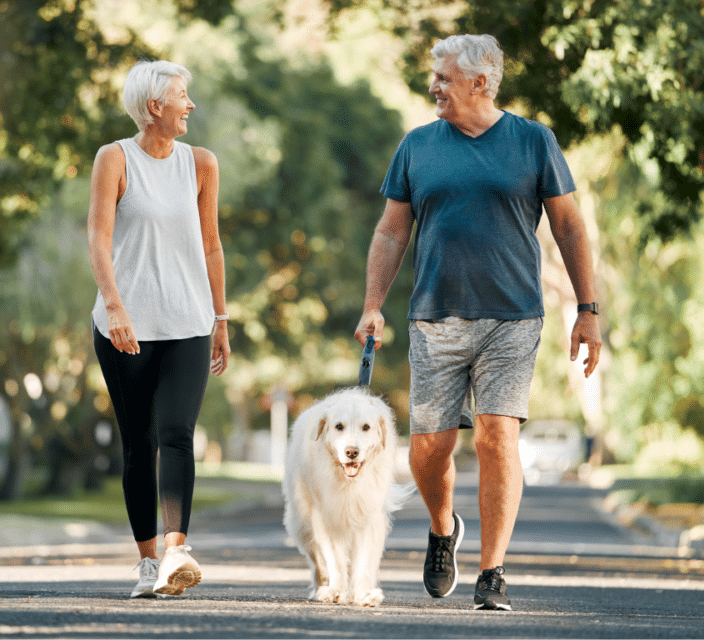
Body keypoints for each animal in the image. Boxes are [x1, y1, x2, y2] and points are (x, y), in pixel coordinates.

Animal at [284, 388, 410, 608]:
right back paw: (321, 588)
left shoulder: (369, 518)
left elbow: (366, 561)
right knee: (318, 561)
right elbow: (334, 559)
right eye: (339, 427)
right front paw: (336, 591)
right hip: (302, 523)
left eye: (366, 427)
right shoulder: (326, 519)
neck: (349, 483)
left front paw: (364, 594)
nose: (352, 452)